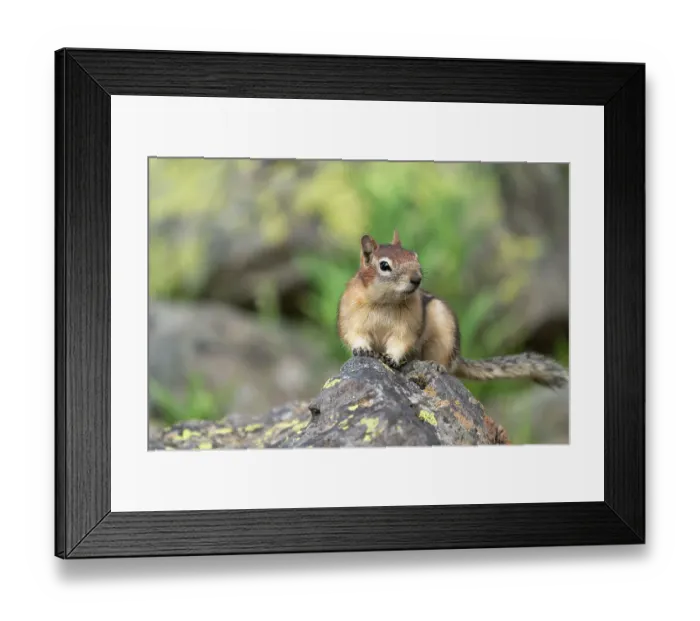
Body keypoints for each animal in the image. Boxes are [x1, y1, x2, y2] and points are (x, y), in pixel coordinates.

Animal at [336, 230, 569, 389]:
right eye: (384, 265)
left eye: (414, 256)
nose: (417, 278)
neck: (386, 302)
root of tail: (458, 358)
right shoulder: (350, 315)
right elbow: (354, 334)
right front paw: (362, 349)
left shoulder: (408, 325)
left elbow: (401, 341)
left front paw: (391, 358)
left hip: (443, 330)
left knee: (445, 364)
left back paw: (435, 366)